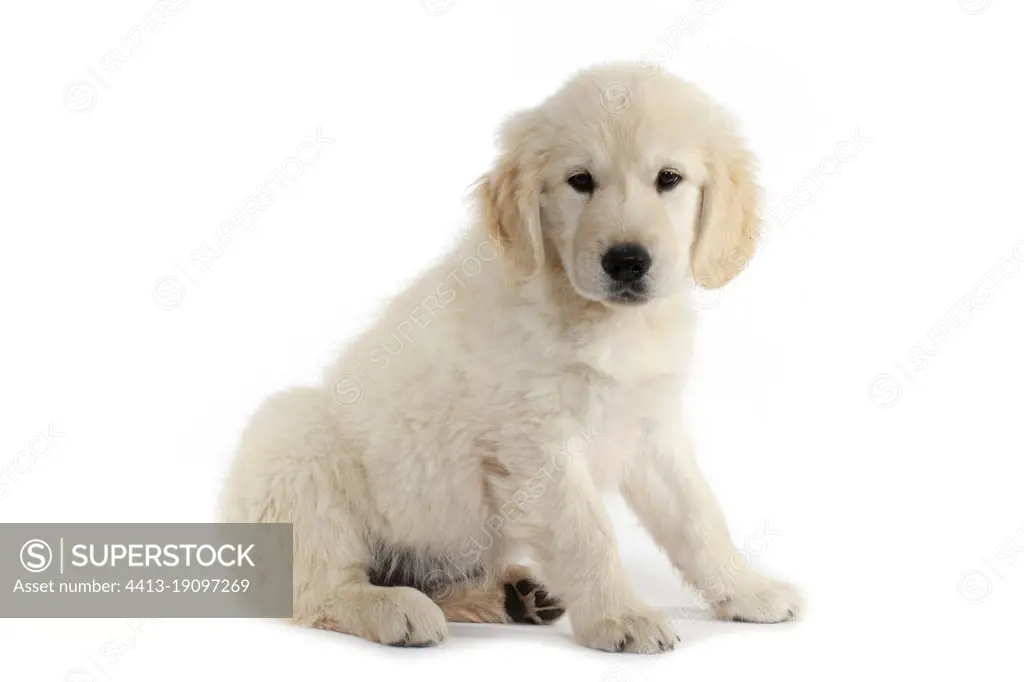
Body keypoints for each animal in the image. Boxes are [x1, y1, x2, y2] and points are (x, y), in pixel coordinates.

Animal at [222, 65, 798, 655]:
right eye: (580, 181)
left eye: (669, 178)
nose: (626, 261)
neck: (603, 319)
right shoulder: (535, 442)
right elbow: (589, 532)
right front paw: (620, 616)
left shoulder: (650, 426)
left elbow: (698, 515)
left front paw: (748, 590)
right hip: (295, 446)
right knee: (317, 592)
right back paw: (393, 608)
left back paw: (513, 595)